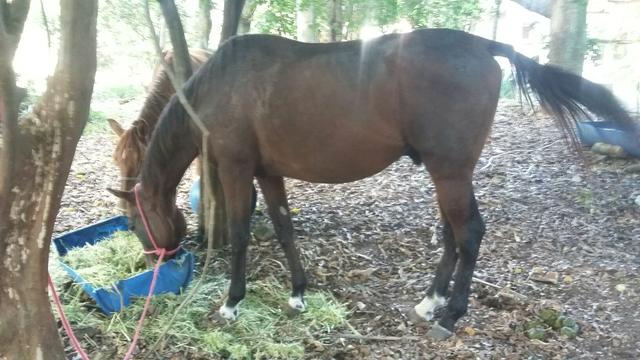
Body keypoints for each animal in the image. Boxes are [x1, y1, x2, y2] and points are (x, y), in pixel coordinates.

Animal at [109, 28, 636, 340]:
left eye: (133, 221)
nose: (155, 260)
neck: (218, 85)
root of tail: (481, 44)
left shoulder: (237, 169)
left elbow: (241, 234)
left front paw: (232, 303)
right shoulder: (268, 171)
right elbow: (284, 229)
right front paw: (298, 293)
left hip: (449, 171)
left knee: (468, 234)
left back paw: (450, 315)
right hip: (447, 173)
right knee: (453, 234)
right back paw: (429, 303)